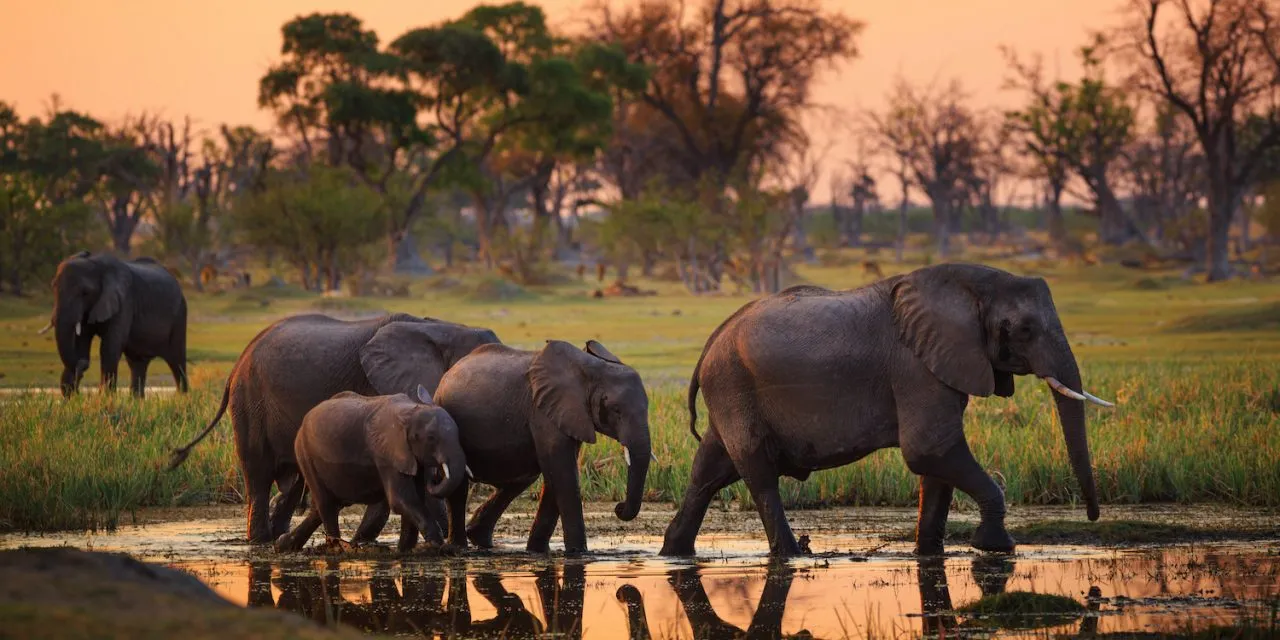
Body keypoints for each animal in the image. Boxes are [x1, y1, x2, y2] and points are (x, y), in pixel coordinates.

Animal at [43, 251, 189, 398]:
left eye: (85, 292)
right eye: (53, 287)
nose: (83, 364)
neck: (96, 263)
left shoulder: (124, 302)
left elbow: (109, 347)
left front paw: (104, 398)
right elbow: (81, 344)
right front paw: (72, 397)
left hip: (180, 315)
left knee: (177, 361)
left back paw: (182, 398)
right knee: (138, 363)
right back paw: (137, 400)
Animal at [273, 386, 467, 553]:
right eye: (431, 438)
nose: (435, 476)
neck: (411, 411)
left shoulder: (409, 456)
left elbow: (414, 497)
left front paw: (405, 550)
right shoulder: (386, 453)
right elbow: (401, 499)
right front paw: (435, 544)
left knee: (324, 507)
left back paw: (283, 545)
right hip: (304, 453)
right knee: (326, 505)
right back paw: (336, 548)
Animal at [431, 339, 651, 554]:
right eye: (616, 410)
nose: (618, 507)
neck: (590, 369)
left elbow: (556, 474)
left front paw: (538, 552)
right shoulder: (543, 411)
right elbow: (563, 473)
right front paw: (579, 553)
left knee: (521, 479)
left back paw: (479, 539)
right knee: (459, 484)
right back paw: (458, 548)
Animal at [661, 263, 1114, 557]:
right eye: (1024, 329)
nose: (1093, 517)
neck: (970, 287)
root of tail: (711, 341)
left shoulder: (941, 363)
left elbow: (936, 464)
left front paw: (929, 554)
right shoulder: (915, 365)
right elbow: (929, 449)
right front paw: (995, 547)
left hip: (729, 392)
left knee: (709, 471)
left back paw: (674, 552)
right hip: (733, 386)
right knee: (759, 474)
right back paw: (793, 555)